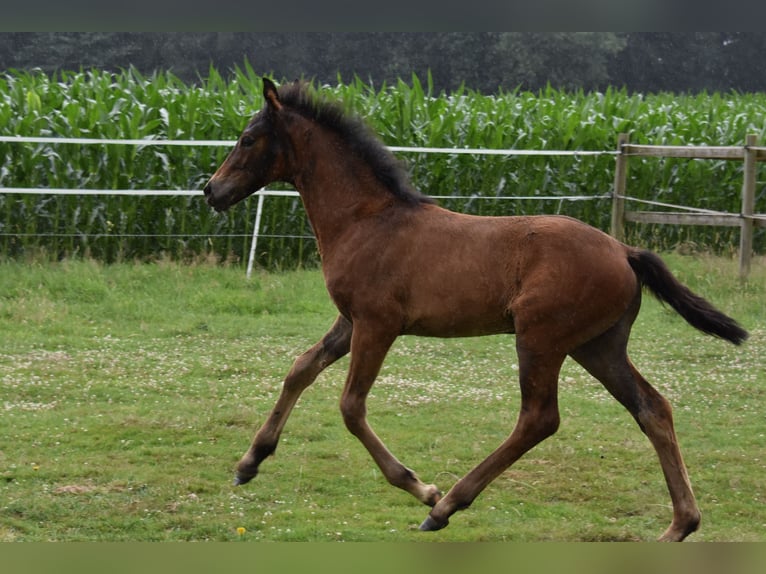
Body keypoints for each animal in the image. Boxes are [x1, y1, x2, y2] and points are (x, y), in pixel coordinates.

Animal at [203, 78, 748, 541]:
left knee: (539, 418)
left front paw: (421, 487)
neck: (367, 220)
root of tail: (624, 250)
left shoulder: (379, 324)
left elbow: (351, 407)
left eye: (248, 139)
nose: (211, 190)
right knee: (651, 408)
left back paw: (446, 507)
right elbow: (300, 369)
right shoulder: (349, 321)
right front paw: (249, 462)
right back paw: (680, 525)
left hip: (540, 338)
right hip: (599, 345)